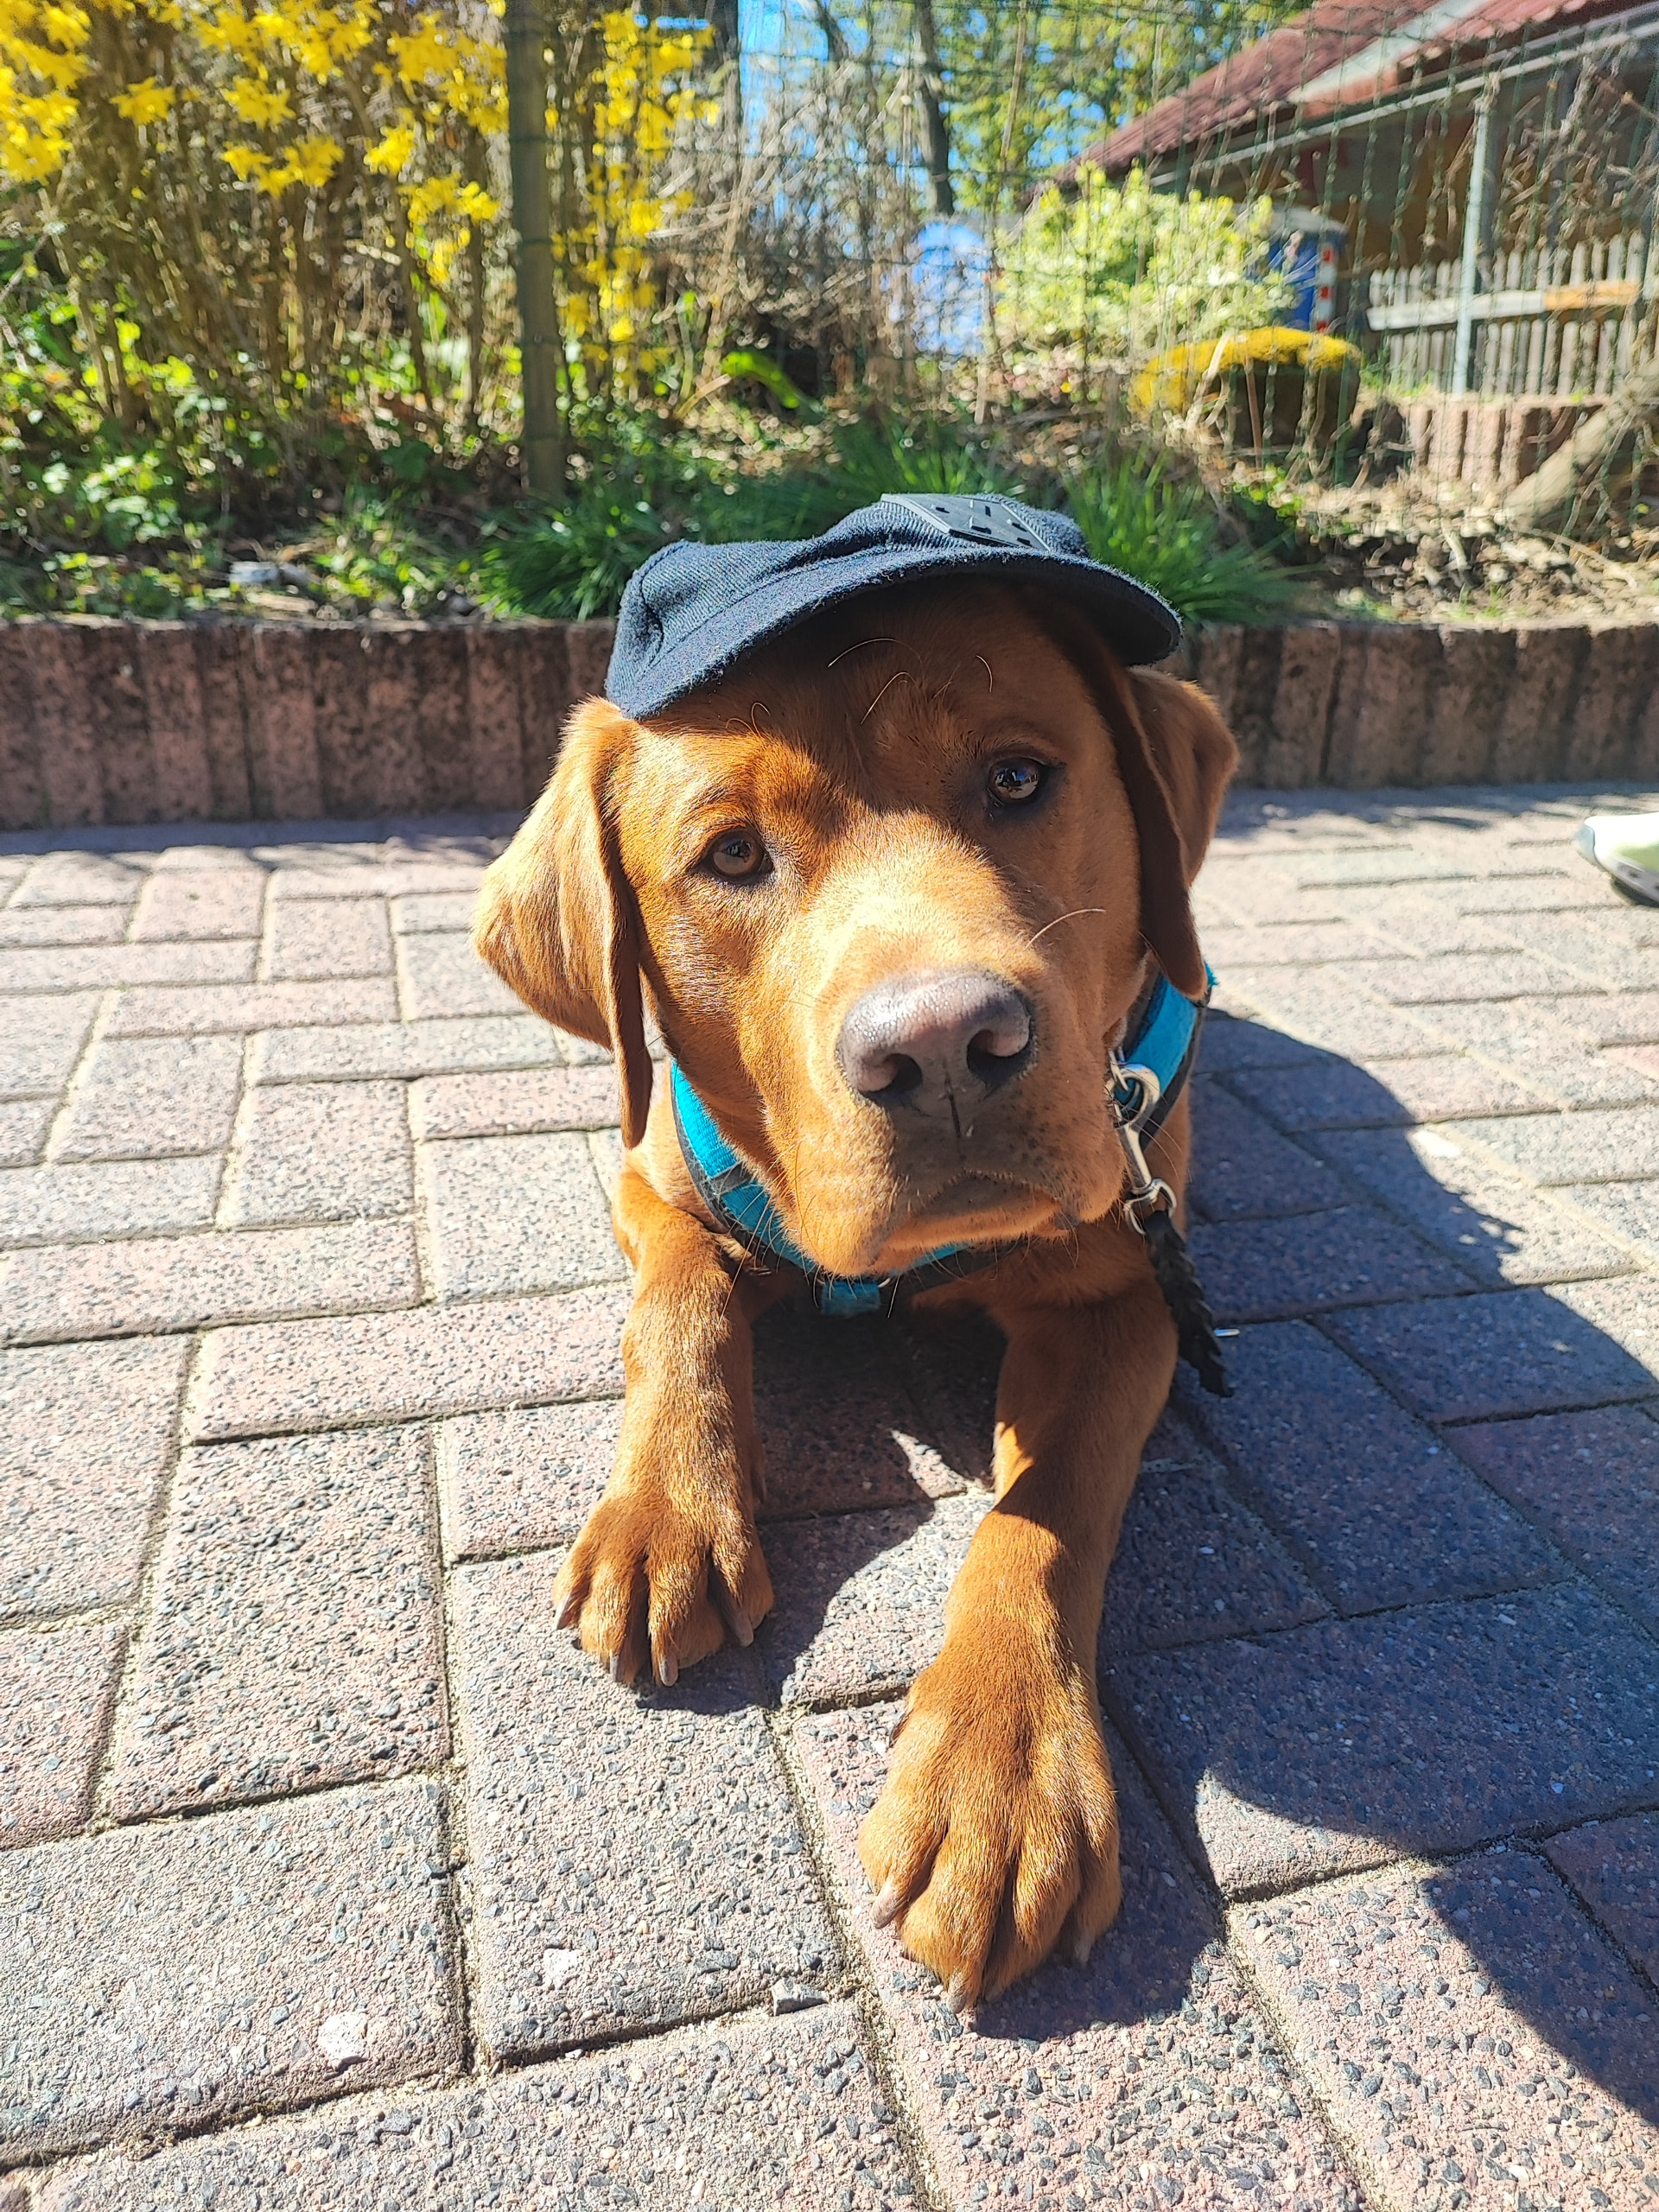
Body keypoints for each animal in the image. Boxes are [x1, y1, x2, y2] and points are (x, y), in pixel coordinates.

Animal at [475, 566, 1236, 2011]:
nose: (943, 1049)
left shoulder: (1127, 1296)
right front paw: (669, 1512)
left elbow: (1046, 1516)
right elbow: (679, 1318)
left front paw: (999, 1776)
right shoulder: (654, 1185)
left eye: (1017, 777)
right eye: (731, 857)